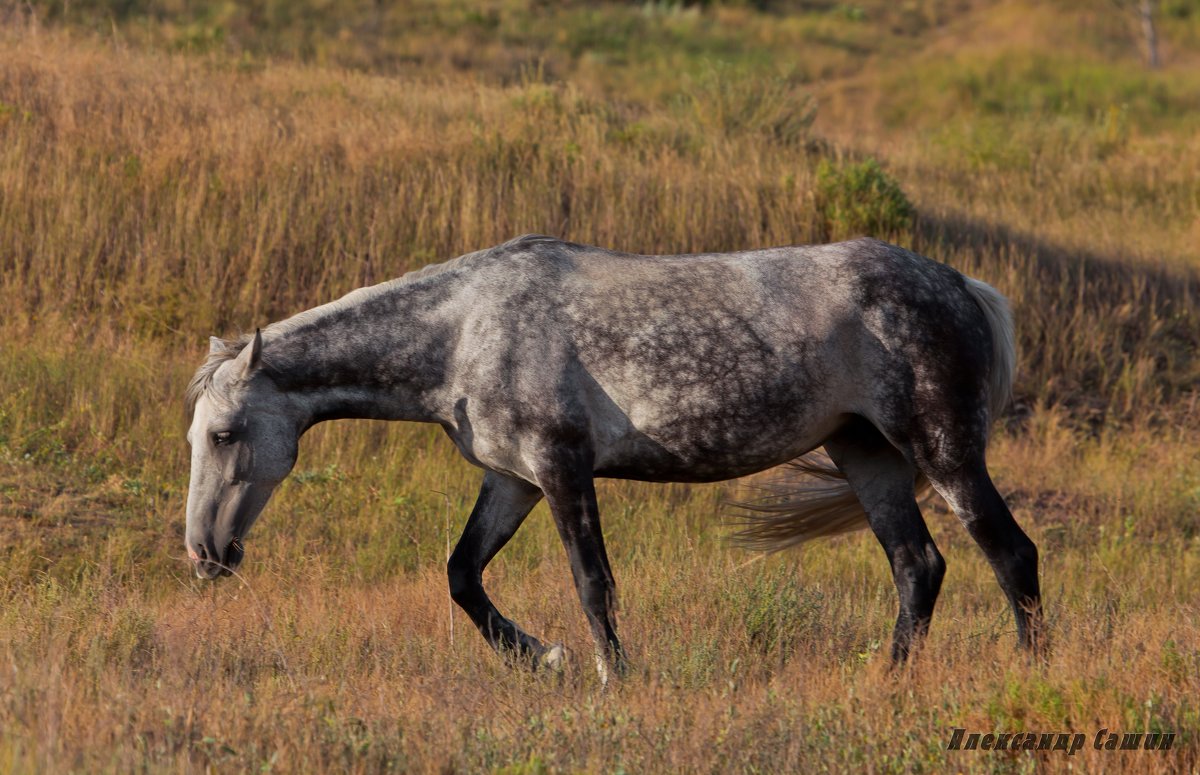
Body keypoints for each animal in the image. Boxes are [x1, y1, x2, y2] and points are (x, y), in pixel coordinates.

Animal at [184, 233, 1041, 676]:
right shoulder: (513, 479)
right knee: (917, 564)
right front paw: (545, 658)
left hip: (941, 449)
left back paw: (1029, 671)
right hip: (866, 453)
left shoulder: (562, 467)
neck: (464, 330)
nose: (203, 552)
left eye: (225, 434)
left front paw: (609, 677)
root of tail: (961, 283)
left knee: (1010, 552)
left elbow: (593, 584)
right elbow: (463, 575)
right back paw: (885, 677)